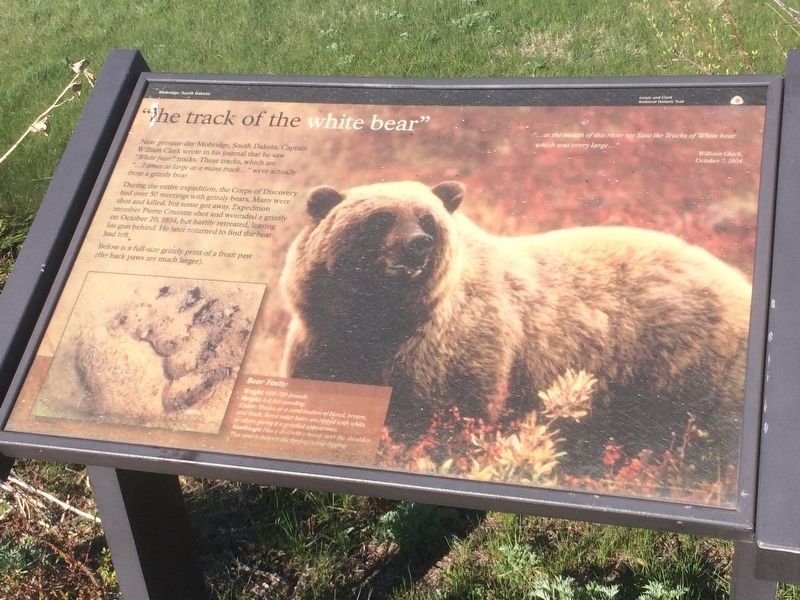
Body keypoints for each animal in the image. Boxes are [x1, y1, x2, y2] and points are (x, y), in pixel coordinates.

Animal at [279, 180, 752, 479]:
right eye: (381, 218)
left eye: (427, 220)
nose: (418, 244)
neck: (377, 321)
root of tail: (741, 283)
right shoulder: (323, 344)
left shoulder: (449, 349)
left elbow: (444, 417)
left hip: (684, 367)